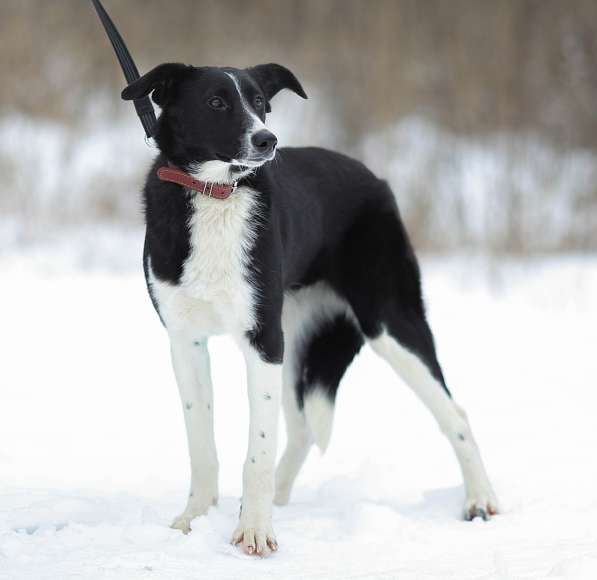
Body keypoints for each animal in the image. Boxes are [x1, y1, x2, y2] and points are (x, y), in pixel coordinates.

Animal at [121, 61, 498, 556]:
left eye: (260, 102)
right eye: (216, 102)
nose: (267, 140)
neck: (215, 193)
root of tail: (374, 178)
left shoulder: (262, 340)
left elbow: (258, 448)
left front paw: (254, 530)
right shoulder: (186, 340)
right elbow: (201, 443)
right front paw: (194, 520)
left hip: (387, 323)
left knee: (455, 413)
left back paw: (481, 499)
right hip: (296, 340)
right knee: (301, 428)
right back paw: (278, 498)